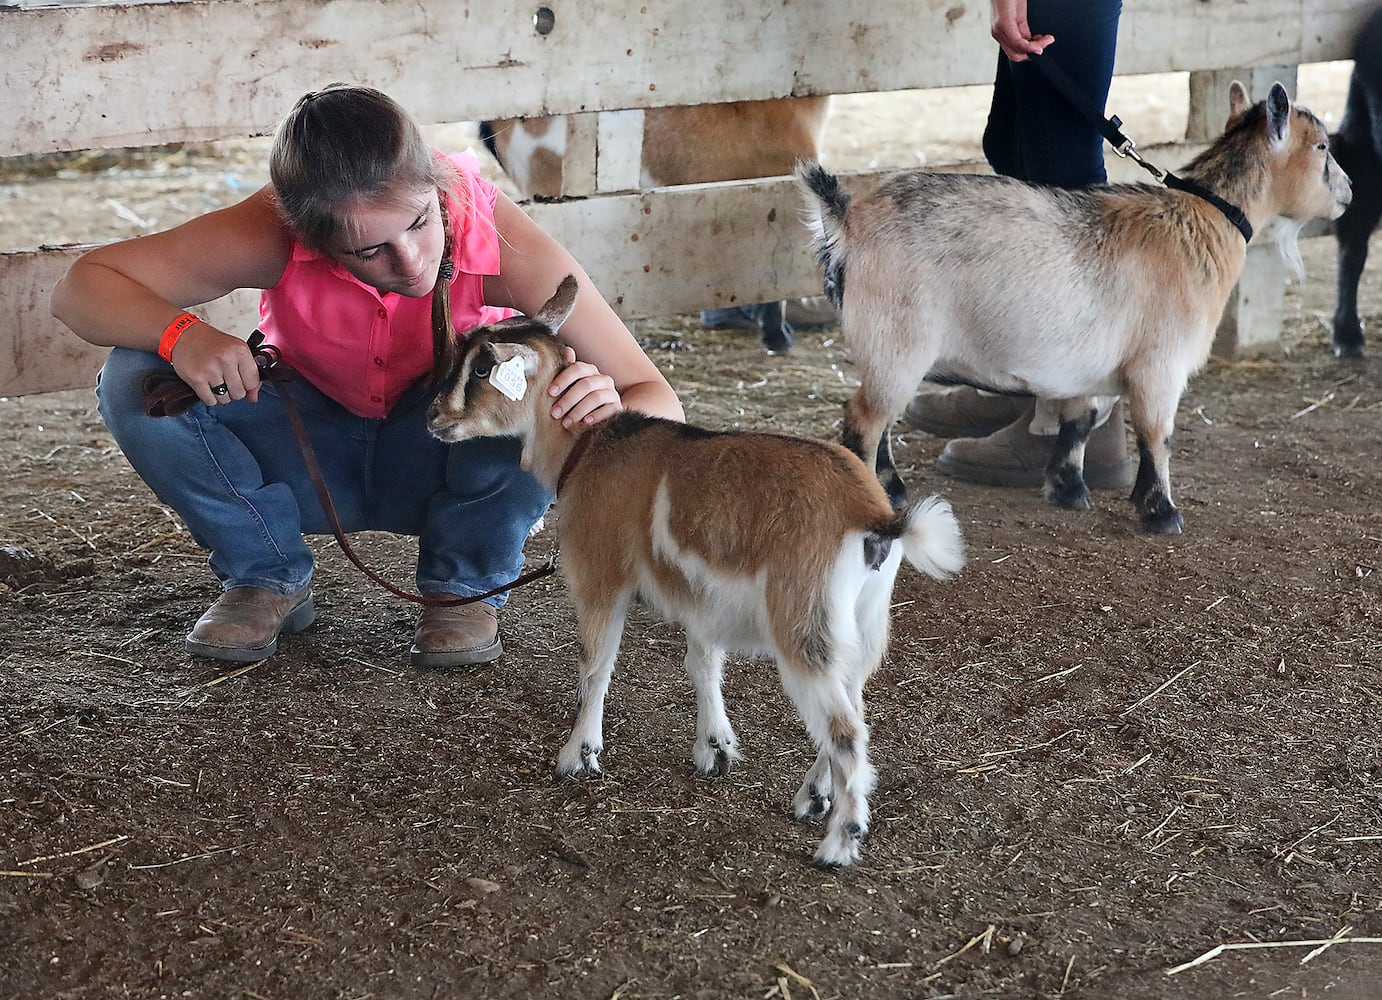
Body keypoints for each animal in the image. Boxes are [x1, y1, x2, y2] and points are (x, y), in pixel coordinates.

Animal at [425, 274, 967, 867]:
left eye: (480, 370)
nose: (432, 417)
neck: (588, 449)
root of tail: (873, 515)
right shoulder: (702, 599)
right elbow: (703, 663)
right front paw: (716, 748)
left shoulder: (599, 579)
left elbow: (595, 667)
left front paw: (578, 755)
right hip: (861, 625)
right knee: (855, 706)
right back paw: (813, 796)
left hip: (803, 622)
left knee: (845, 728)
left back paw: (838, 841)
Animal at [801, 80, 1348, 530]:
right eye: (1322, 146)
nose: (1349, 191)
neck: (1204, 218)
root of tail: (847, 220)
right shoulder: (1160, 365)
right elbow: (1157, 435)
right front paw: (1162, 513)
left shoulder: (1090, 364)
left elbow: (1080, 421)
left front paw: (1069, 489)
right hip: (897, 341)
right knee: (864, 420)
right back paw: (880, 495)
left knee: (877, 421)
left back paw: (893, 486)